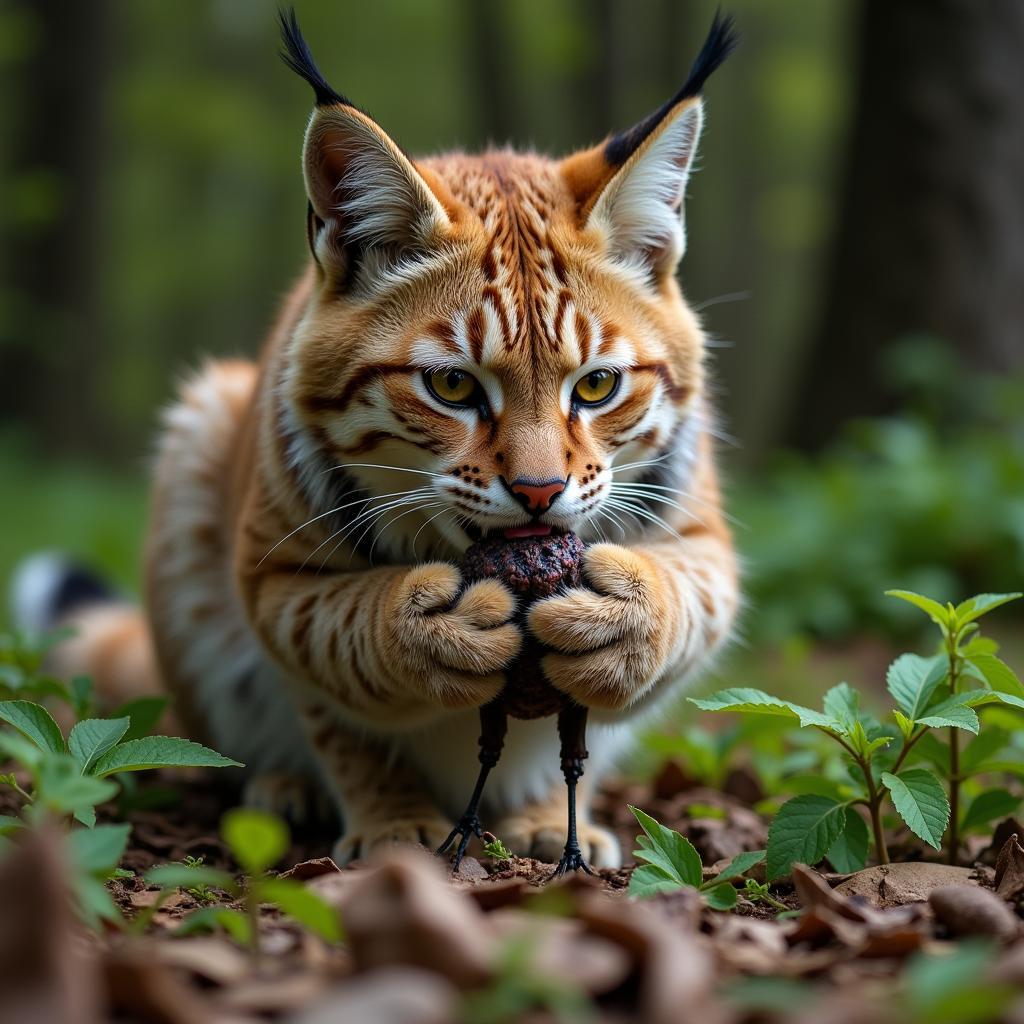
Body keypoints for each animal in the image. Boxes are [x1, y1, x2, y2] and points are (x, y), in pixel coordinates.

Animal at [14, 12, 737, 868]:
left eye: (596, 387)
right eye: (452, 386)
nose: (539, 494)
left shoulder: (701, 533)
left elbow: (685, 603)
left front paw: (621, 623)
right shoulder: (271, 572)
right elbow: (344, 654)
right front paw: (400, 794)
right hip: (203, 428)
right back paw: (284, 788)